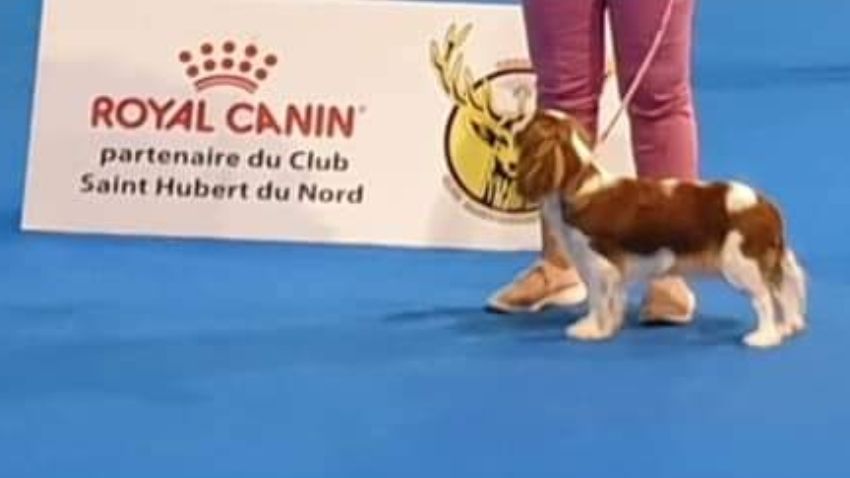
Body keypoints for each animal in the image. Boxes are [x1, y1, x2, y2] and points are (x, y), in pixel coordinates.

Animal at [515, 110, 807, 348]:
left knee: (764, 299)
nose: (518, 120)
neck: (579, 183)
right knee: (780, 292)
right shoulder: (609, 269)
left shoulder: (600, 264)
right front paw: (609, 326)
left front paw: (591, 330)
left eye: (530, 122)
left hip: (741, 265)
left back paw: (765, 337)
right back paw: (787, 327)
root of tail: (767, 206)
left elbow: (597, 301)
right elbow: (611, 301)